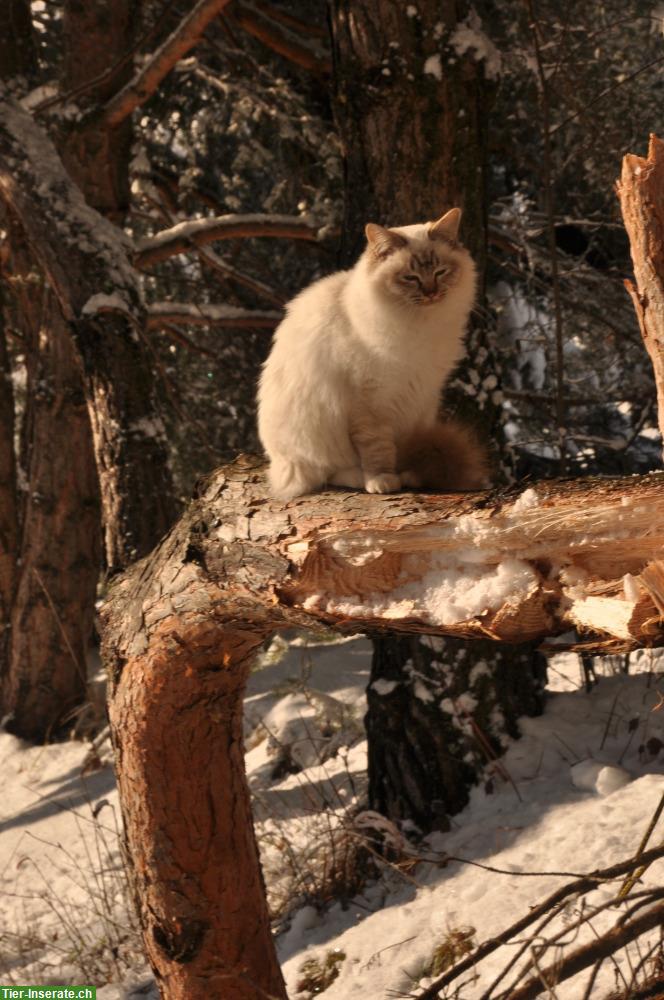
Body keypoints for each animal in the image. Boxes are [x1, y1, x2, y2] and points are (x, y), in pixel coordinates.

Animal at [258, 208, 488, 500]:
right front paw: (383, 480)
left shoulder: (422, 394)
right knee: (326, 474)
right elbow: (378, 448)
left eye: (440, 272)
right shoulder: (370, 402)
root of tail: (278, 462)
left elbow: (411, 444)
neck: (420, 323)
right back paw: (361, 478)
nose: (431, 293)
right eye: (410, 278)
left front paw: (409, 474)